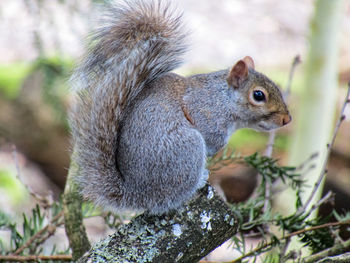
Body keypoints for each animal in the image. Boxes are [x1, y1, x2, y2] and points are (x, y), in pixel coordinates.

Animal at [69, 0, 292, 216]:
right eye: (258, 95)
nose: (287, 119)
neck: (223, 98)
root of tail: (138, 194)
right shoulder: (204, 111)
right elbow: (212, 138)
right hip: (187, 149)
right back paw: (199, 180)